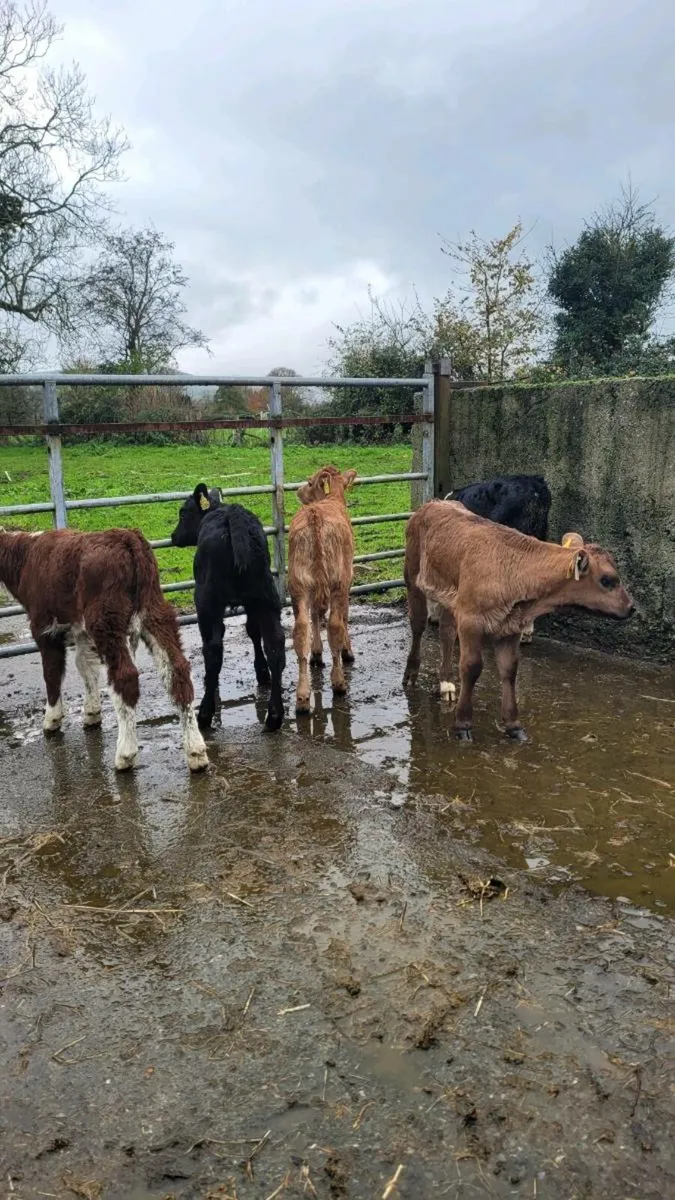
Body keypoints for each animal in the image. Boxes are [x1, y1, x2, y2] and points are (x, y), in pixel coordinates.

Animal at [0, 526, 208, 772]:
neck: (26, 558)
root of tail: (127, 536)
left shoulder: (44, 629)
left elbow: (51, 674)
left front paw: (51, 719)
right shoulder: (81, 633)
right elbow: (85, 667)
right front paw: (91, 712)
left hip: (106, 621)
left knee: (125, 677)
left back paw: (125, 754)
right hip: (156, 613)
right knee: (177, 670)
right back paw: (196, 752)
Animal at [170, 484, 286, 731]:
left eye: (183, 513)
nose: (174, 536)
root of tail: (233, 515)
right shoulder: (252, 603)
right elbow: (253, 632)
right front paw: (261, 671)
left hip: (206, 601)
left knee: (213, 650)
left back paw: (205, 714)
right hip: (266, 596)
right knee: (275, 645)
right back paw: (274, 716)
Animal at [288, 465, 357, 713]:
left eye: (309, 482)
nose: (299, 490)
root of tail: (314, 515)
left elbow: (316, 615)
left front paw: (317, 653)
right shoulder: (347, 579)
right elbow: (343, 617)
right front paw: (347, 652)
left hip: (298, 583)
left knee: (301, 630)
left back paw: (302, 697)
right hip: (338, 580)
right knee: (335, 625)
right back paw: (339, 683)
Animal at [403, 501, 633, 742]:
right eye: (606, 580)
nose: (631, 607)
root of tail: (435, 502)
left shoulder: (511, 626)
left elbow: (509, 669)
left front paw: (513, 725)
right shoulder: (470, 621)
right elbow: (471, 667)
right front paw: (462, 724)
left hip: (449, 598)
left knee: (446, 633)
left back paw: (446, 683)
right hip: (413, 577)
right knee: (418, 625)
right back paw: (411, 673)